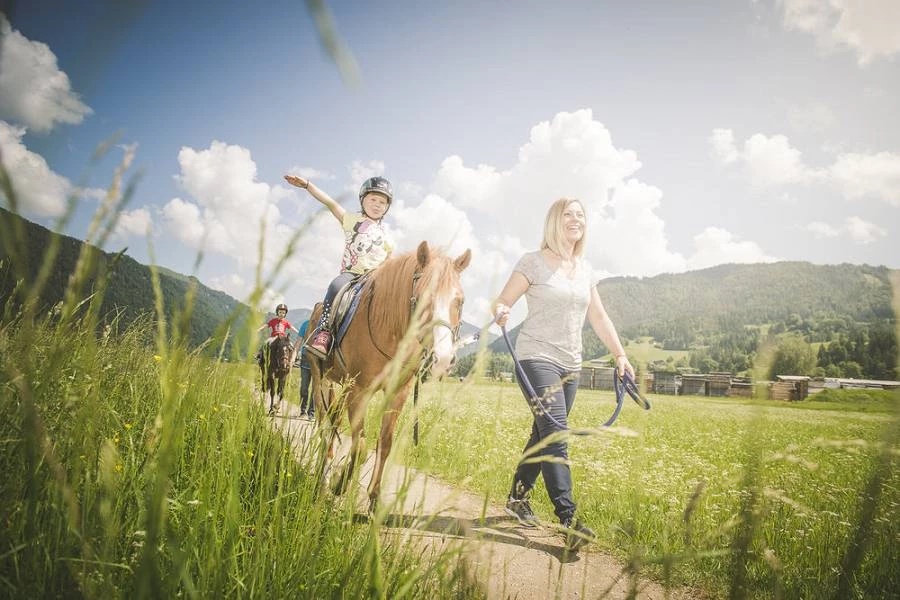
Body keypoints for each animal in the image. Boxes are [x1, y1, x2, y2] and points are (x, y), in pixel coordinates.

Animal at [308, 241, 472, 508]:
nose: (443, 359)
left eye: (460, 301)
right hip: (319, 378)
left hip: (340, 385)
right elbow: (360, 447)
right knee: (324, 425)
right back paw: (323, 479)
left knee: (334, 423)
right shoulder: (359, 392)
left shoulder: (397, 393)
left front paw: (374, 498)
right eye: (422, 297)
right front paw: (338, 484)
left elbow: (384, 444)